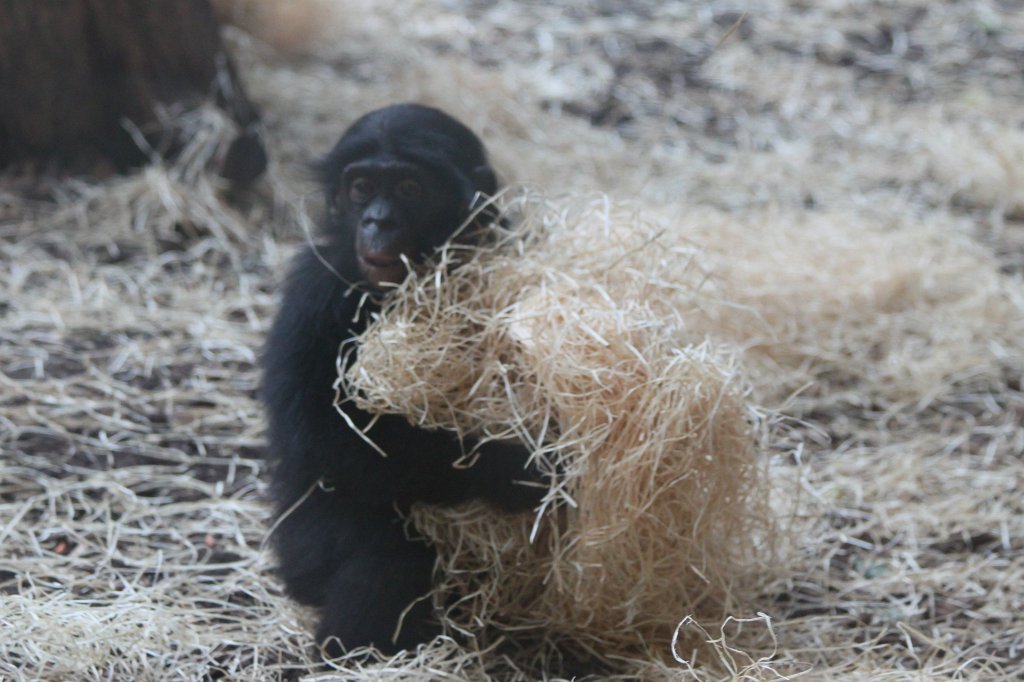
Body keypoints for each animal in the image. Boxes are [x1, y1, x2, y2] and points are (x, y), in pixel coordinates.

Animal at [261, 104, 543, 657]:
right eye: (361, 187)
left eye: (410, 189)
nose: (378, 220)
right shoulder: (312, 296)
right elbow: (325, 437)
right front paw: (507, 467)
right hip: (300, 555)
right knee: (387, 557)